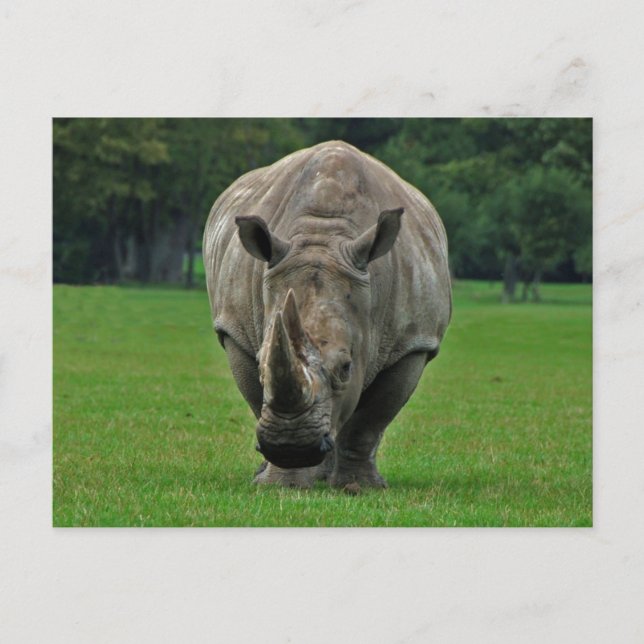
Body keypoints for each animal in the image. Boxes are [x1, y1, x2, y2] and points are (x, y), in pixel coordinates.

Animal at [203, 140, 451, 488]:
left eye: (346, 367)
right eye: (262, 363)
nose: (291, 446)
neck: (323, 236)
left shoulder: (413, 342)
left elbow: (370, 421)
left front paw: (359, 488)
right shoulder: (234, 330)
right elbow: (256, 396)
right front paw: (283, 483)